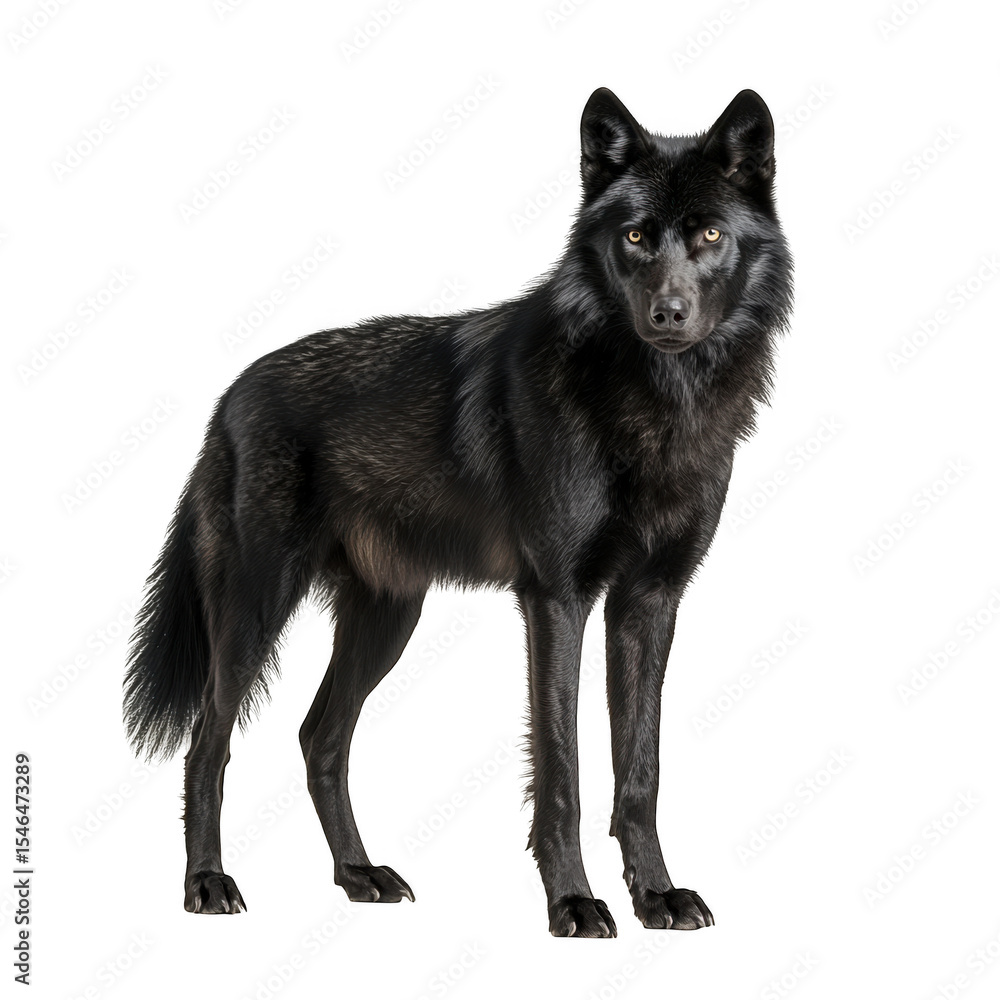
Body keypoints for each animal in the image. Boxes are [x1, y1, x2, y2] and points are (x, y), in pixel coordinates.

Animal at [125, 87, 792, 936]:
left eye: (709, 234)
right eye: (637, 236)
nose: (668, 314)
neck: (654, 406)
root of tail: (228, 398)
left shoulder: (650, 602)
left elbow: (639, 772)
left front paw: (656, 896)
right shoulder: (557, 600)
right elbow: (565, 771)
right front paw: (574, 902)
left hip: (387, 619)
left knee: (319, 738)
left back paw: (359, 876)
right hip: (256, 610)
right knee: (208, 743)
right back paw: (208, 884)